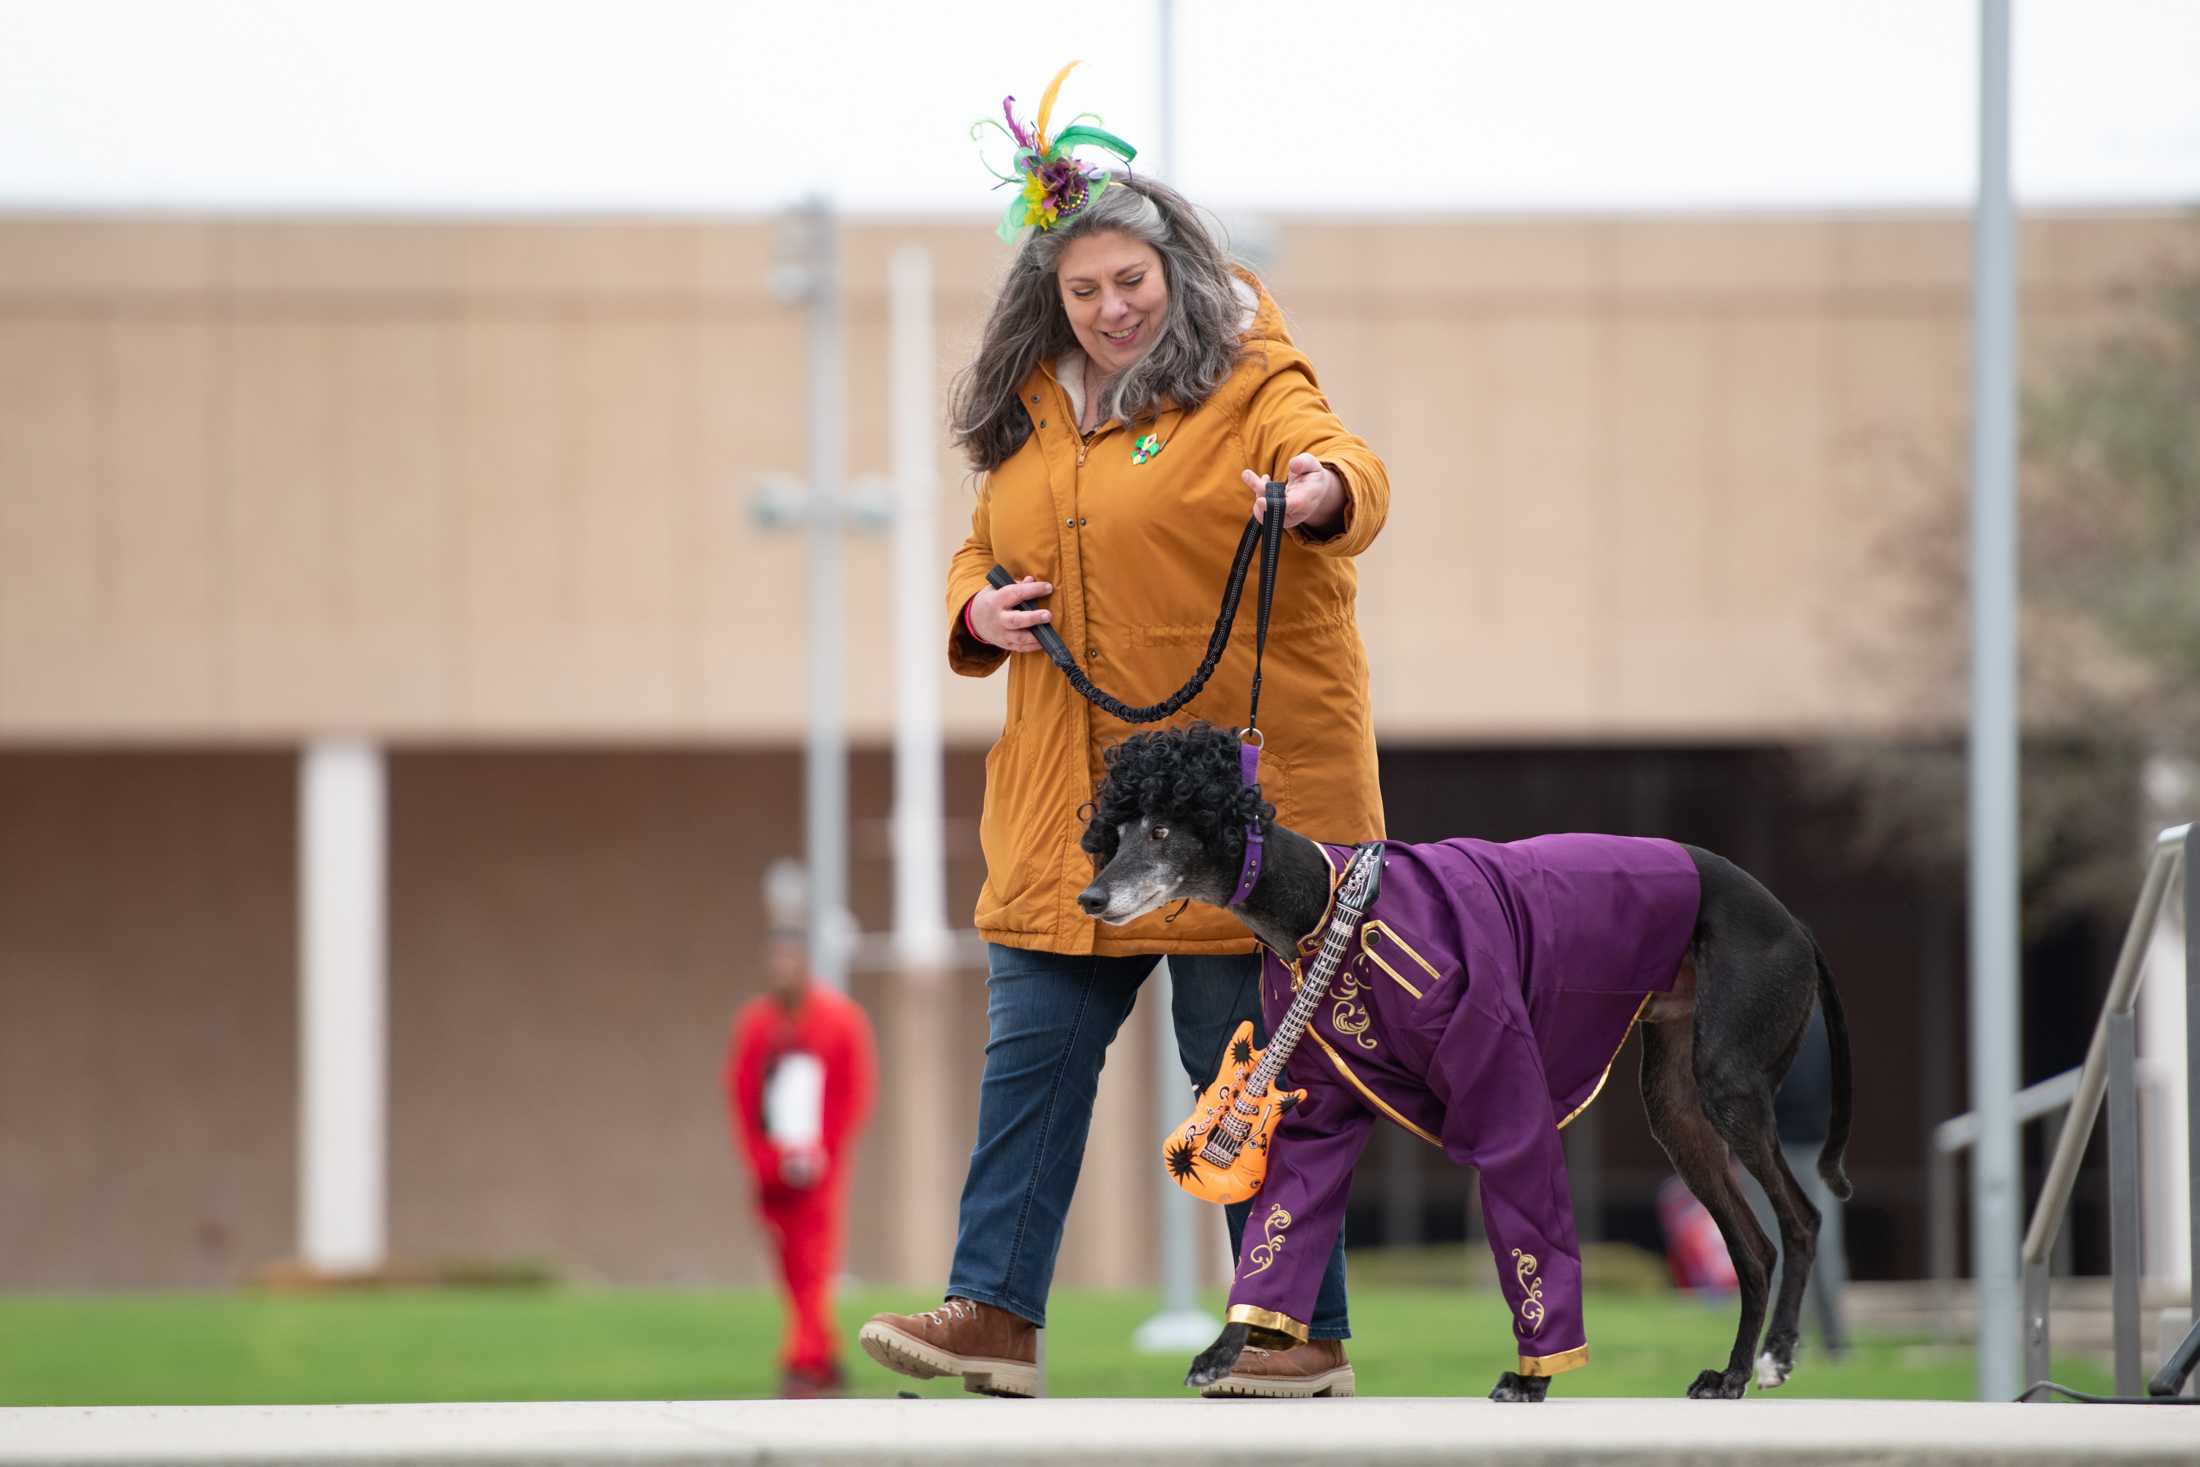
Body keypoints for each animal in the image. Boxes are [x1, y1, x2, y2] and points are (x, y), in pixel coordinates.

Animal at [1073, 730, 1848, 1407]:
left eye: (1165, 831)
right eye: (1119, 830)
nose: (1090, 899)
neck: (1325, 900)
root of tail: (1795, 924)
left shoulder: (1503, 1087)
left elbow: (1530, 1235)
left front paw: (1534, 1377)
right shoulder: (1319, 1113)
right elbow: (1278, 1232)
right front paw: (1225, 1350)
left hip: (1730, 1083)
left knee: (1802, 1218)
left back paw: (1777, 1354)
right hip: (1679, 1110)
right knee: (1754, 1248)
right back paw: (1733, 1373)